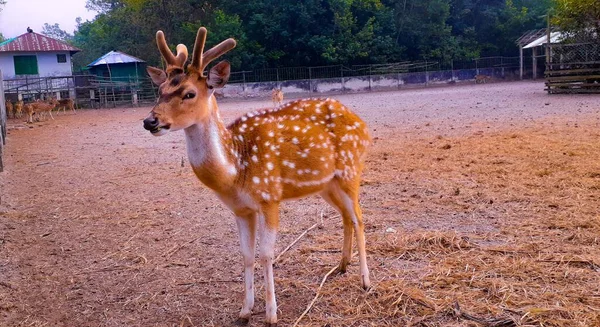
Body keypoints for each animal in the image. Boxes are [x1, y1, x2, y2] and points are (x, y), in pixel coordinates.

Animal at [143, 26, 372, 326]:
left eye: (189, 93)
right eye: (160, 90)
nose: (150, 121)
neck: (235, 171)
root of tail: (363, 125)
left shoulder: (270, 196)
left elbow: (266, 254)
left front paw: (271, 313)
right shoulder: (241, 210)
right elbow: (246, 255)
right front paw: (245, 310)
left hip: (350, 170)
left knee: (359, 217)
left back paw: (366, 281)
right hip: (326, 184)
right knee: (346, 215)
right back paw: (342, 266)